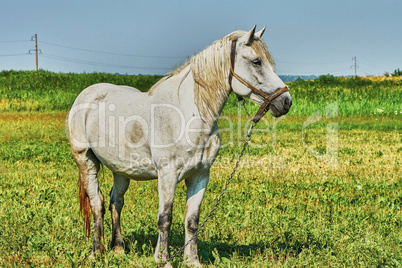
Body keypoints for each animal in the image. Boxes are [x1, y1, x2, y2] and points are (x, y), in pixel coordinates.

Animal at [69, 26, 292, 266]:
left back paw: (118, 249)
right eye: (257, 61)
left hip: (121, 169)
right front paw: (163, 260)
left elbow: (192, 220)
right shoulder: (168, 174)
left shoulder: (200, 175)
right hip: (86, 161)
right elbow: (165, 218)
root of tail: (87, 94)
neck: (188, 116)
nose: (286, 102)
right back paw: (96, 252)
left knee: (115, 202)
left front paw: (192, 260)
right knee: (97, 203)